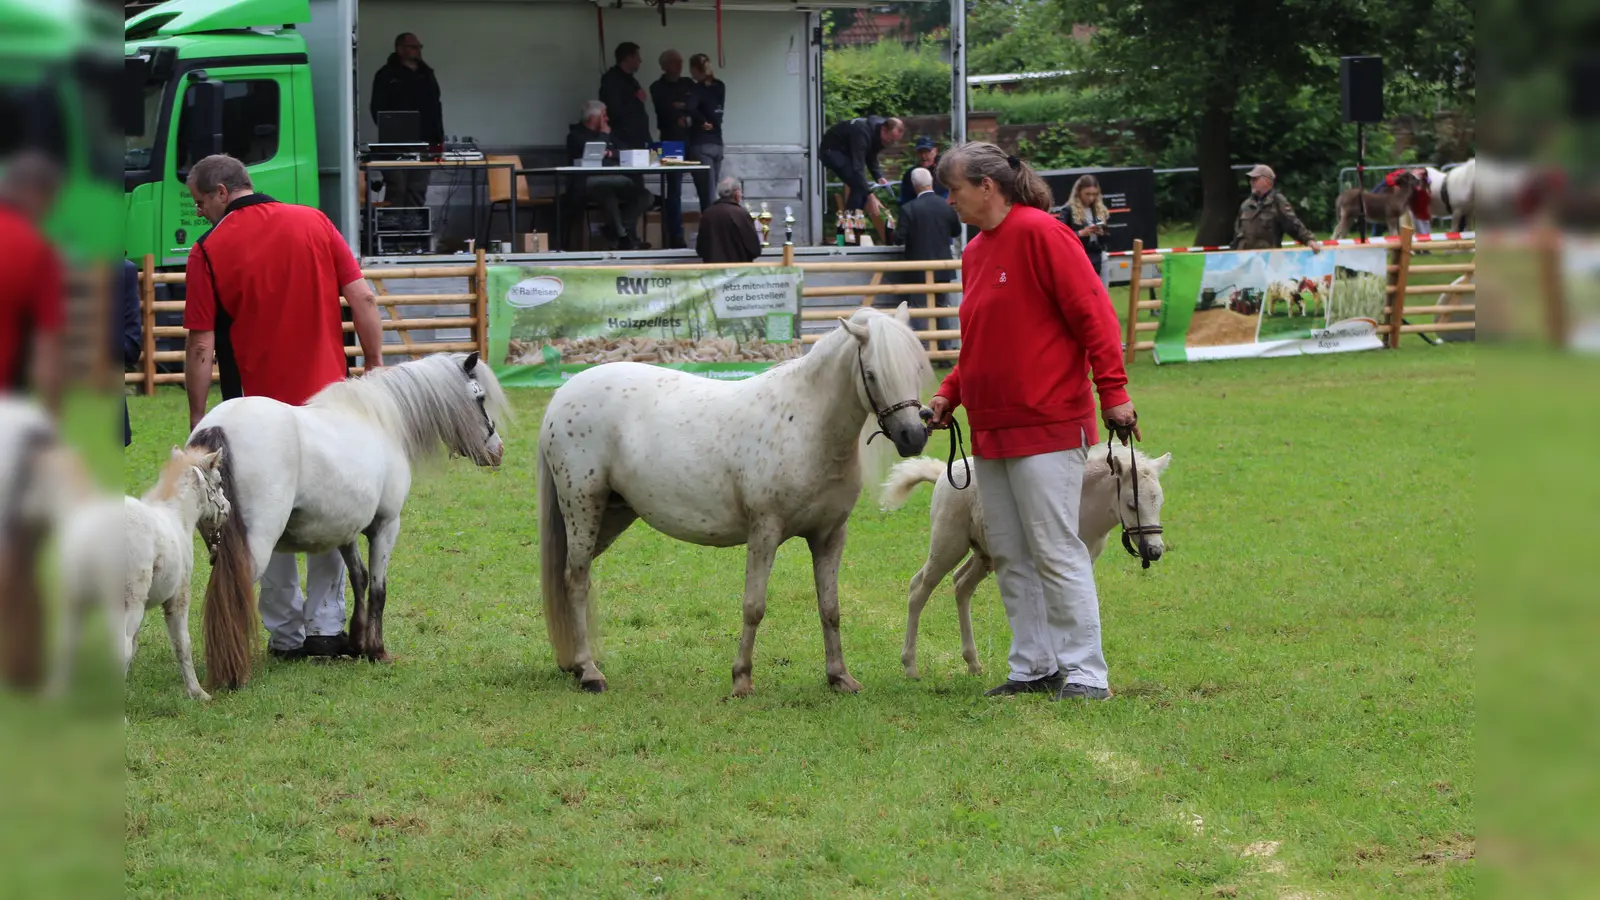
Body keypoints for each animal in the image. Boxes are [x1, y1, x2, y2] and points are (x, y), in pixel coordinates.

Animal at [192, 350, 505, 685]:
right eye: (479, 397)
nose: (497, 450)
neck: (379, 420)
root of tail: (219, 428)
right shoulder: (386, 526)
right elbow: (379, 588)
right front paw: (377, 650)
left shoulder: (345, 530)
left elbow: (359, 578)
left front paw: (357, 643)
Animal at [544, 301, 934, 695]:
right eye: (871, 374)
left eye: (916, 368)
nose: (913, 436)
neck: (805, 424)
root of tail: (564, 395)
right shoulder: (765, 531)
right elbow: (754, 606)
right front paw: (742, 679)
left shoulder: (829, 536)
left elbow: (830, 608)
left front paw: (839, 676)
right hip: (583, 507)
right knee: (575, 581)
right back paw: (589, 672)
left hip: (612, 515)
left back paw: (576, 664)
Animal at [883, 438, 1171, 675]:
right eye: (1132, 504)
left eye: (1160, 502)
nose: (1154, 551)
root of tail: (944, 473)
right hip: (948, 544)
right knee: (919, 588)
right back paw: (910, 666)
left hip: (984, 555)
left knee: (961, 585)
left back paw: (973, 663)